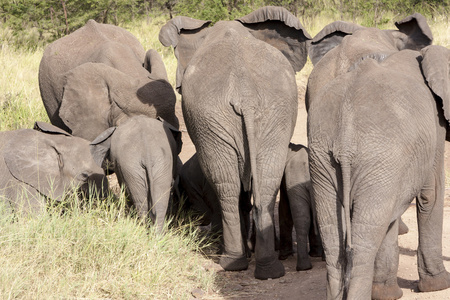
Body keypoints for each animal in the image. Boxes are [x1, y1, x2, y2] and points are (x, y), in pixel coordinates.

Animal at [160, 5, 312, 280]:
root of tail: (246, 95)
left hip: (214, 118)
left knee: (226, 185)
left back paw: (232, 262)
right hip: (270, 114)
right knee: (264, 180)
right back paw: (268, 269)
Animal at [306, 12, 450, 298]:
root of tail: (346, 129)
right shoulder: (434, 125)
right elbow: (431, 194)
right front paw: (439, 285)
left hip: (325, 154)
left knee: (335, 236)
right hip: (377, 154)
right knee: (364, 240)